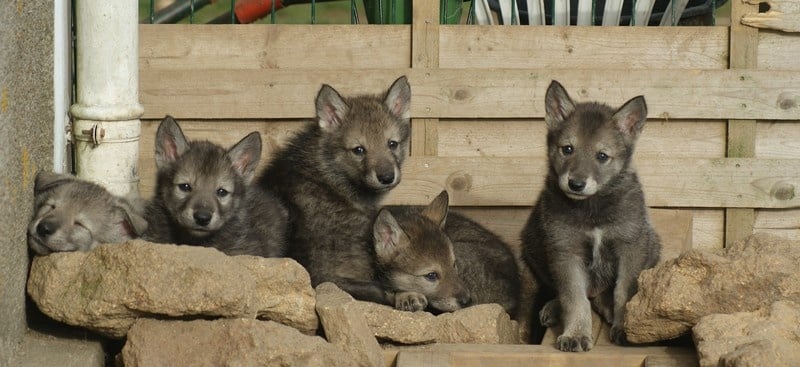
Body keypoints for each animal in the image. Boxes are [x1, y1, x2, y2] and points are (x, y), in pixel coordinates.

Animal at [520, 81, 664, 354]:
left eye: (602, 156)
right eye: (567, 149)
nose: (576, 184)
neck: (592, 209)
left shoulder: (631, 246)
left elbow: (624, 292)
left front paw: (625, 327)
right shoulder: (565, 250)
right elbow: (574, 297)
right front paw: (575, 333)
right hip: (532, 241)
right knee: (580, 295)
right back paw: (554, 307)